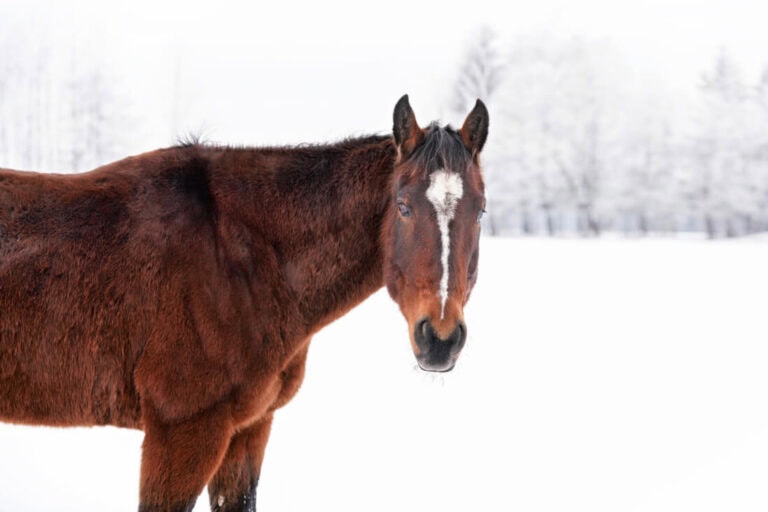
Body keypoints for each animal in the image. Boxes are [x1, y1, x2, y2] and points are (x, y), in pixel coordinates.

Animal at [0, 94, 488, 512]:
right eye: (403, 206)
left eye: (481, 210)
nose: (440, 338)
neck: (239, 254)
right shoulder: (183, 431)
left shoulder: (249, 428)